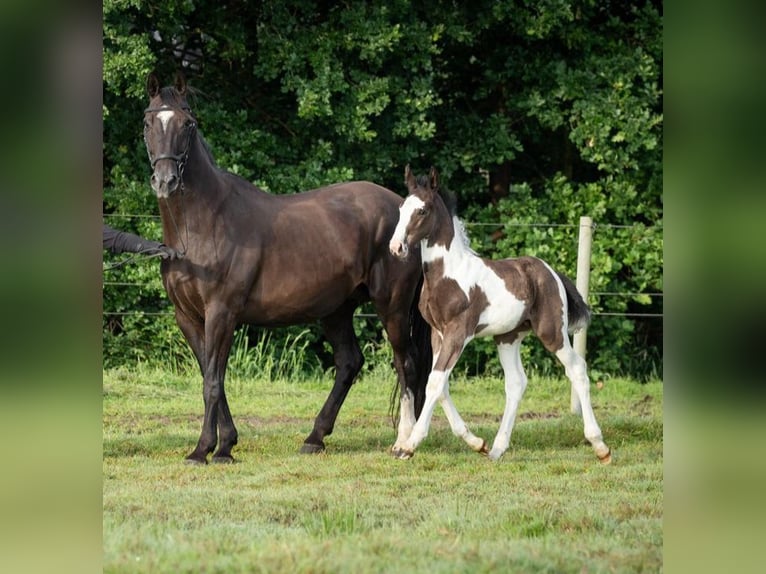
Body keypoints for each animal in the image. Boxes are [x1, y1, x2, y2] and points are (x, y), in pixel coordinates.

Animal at [144, 74, 432, 466]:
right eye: (147, 123)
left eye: (188, 124)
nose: (166, 180)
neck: (203, 225)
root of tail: (403, 212)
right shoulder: (187, 317)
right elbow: (211, 377)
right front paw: (226, 445)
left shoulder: (221, 312)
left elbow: (213, 383)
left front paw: (203, 450)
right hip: (337, 309)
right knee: (350, 362)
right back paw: (315, 438)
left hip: (393, 306)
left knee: (407, 365)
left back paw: (404, 442)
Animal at [390, 165, 612, 464]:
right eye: (402, 208)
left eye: (422, 210)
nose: (396, 247)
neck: (448, 275)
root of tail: (550, 272)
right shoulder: (439, 334)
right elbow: (440, 385)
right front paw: (476, 442)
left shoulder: (458, 334)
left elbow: (435, 383)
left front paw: (409, 445)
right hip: (508, 337)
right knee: (516, 383)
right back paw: (496, 448)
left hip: (552, 332)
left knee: (577, 369)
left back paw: (600, 445)